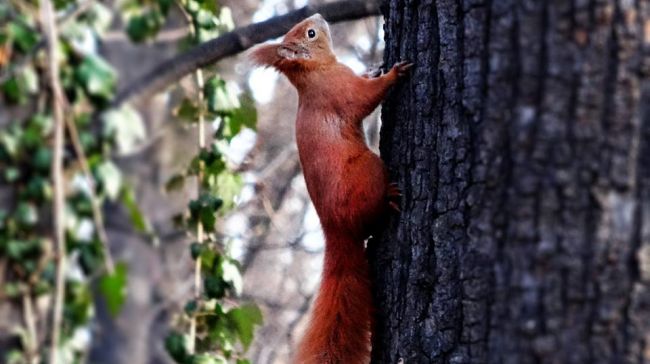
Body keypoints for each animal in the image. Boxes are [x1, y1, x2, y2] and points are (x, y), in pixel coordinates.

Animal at [249, 12, 410, 362]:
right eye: (311, 33)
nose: (319, 15)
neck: (315, 73)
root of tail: (335, 229)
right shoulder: (341, 91)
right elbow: (366, 97)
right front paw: (393, 73)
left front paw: (375, 67)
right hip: (368, 170)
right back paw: (390, 198)